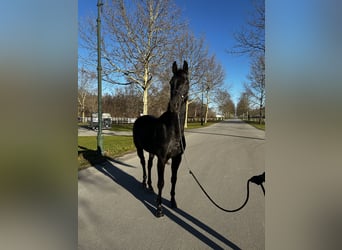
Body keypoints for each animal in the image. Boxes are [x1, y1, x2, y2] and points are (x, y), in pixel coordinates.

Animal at [132, 60, 190, 217]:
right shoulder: (162, 159)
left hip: (152, 153)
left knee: (149, 165)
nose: (174, 106)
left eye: (186, 81)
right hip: (140, 149)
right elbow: (161, 182)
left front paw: (173, 202)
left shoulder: (177, 158)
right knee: (144, 164)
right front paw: (159, 209)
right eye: (171, 82)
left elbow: (173, 179)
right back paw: (144, 184)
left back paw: (150, 187)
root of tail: (139, 119)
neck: (173, 131)